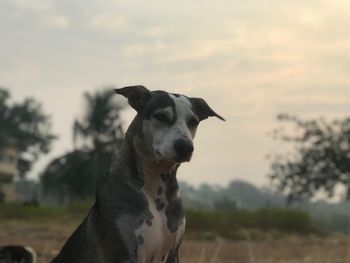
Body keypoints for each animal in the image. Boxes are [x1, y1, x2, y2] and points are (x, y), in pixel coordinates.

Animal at [52, 85, 224, 262]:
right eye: (160, 116)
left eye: (193, 122)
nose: (185, 147)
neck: (155, 188)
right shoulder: (124, 252)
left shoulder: (173, 252)